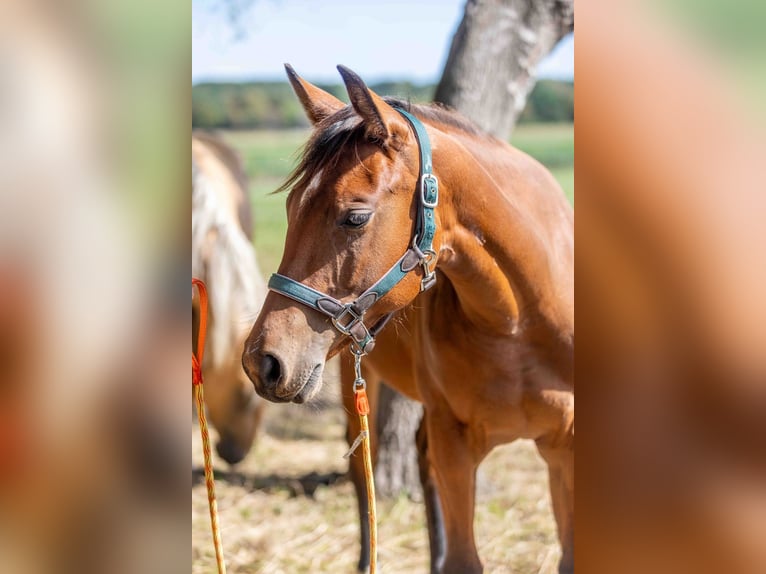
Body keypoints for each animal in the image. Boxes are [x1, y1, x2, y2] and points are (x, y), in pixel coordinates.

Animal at [242, 65, 574, 574]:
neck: (518, 320)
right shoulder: (454, 441)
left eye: (355, 217)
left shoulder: (563, 451)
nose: (262, 360)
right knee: (363, 470)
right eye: (290, 207)